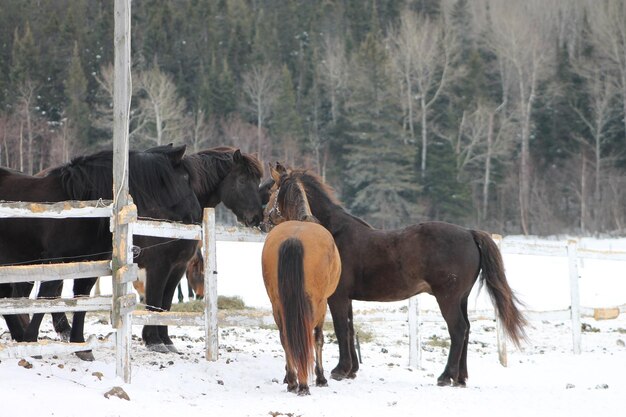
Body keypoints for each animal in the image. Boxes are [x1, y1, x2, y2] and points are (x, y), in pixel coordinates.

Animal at [0, 144, 200, 358]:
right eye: (185, 178)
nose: (196, 214)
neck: (81, 204)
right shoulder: (56, 261)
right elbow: (47, 296)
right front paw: (31, 341)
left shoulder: (89, 265)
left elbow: (81, 299)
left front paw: (81, 346)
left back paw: (18, 335)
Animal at [258, 165, 338, 394]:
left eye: (271, 191)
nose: (263, 221)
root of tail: (294, 238)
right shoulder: (324, 302)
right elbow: (318, 337)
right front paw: (321, 377)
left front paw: (287, 376)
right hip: (315, 302)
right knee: (308, 336)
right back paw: (304, 383)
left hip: (277, 302)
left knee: (286, 336)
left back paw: (293, 380)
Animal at [264, 164, 528, 386]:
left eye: (273, 190)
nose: (264, 219)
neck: (332, 231)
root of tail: (470, 233)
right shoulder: (347, 299)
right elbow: (349, 329)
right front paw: (352, 370)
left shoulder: (336, 297)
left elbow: (340, 329)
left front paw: (341, 370)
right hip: (461, 298)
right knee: (467, 330)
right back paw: (460, 378)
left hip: (448, 299)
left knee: (458, 330)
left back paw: (446, 376)